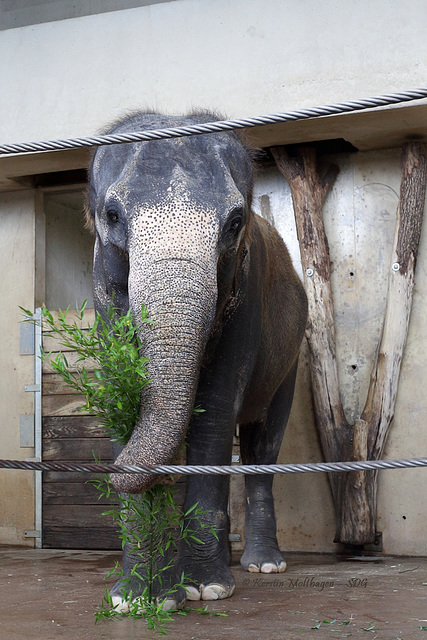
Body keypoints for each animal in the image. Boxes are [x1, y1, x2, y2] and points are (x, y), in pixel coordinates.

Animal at [86, 110, 308, 608]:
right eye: (112, 216)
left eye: (236, 221)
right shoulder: (102, 297)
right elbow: (121, 402)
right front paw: (138, 597)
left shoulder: (246, 297)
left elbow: (215, 410)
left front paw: (204, 588)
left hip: (293, 357)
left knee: (264, 444)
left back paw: (262, 565)